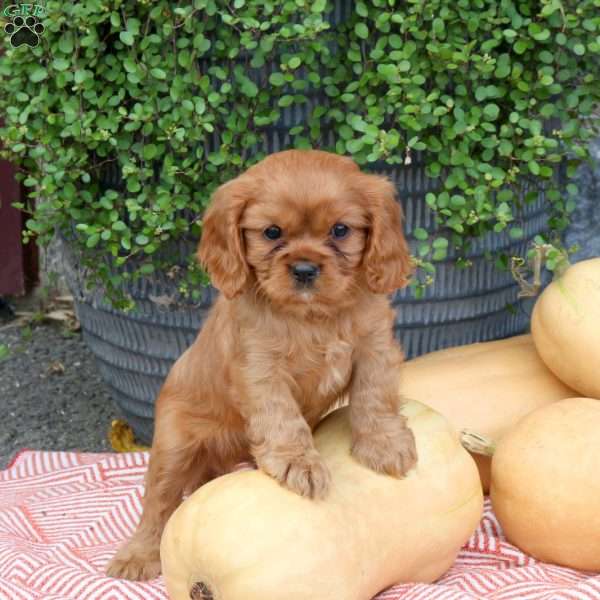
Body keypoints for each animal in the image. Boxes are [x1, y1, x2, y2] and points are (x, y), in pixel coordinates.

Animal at [106, 149, 418, 580]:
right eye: (271, 233)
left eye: (340, 230)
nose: (304, 269)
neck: (313, 318)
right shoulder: (260, 369)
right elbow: (281, 417)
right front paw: (298, 464)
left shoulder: (375, 348)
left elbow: (375, 396)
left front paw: (384, 444)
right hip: (174, 445)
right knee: (158, 504)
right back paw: (138, 555)